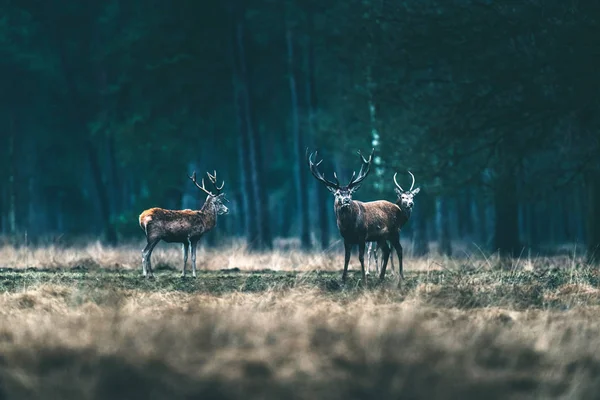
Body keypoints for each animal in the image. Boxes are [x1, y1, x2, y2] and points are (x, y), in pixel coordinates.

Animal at [308, 149, 406, 284]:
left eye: (350, 192)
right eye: (337, 193)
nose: (346, 200)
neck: (348, 225)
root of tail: (398, 208)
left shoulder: (362, 235)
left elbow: (360, 257)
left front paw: (364, 279)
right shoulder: (345, 238)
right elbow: (347, 258)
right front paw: (343, 279)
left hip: (395, 231)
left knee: (399, 250)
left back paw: (401, 277)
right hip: (381, 237)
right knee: (387, 251)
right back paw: (380, 277)